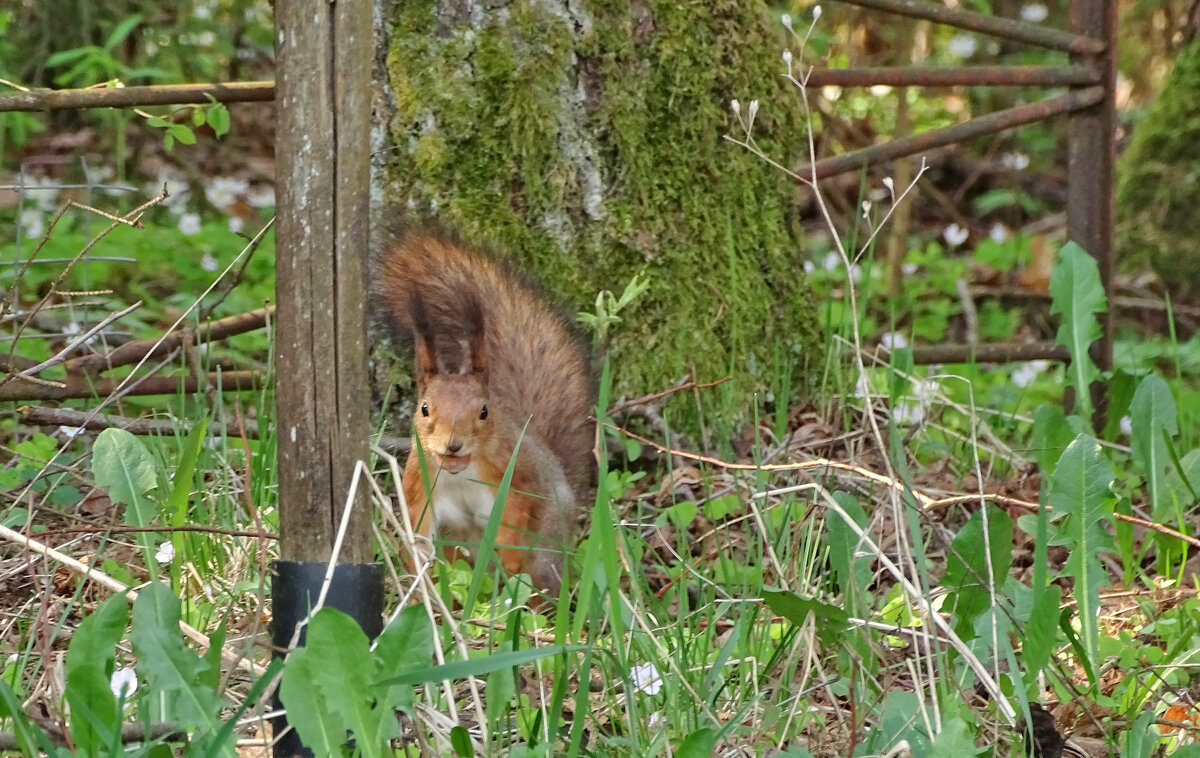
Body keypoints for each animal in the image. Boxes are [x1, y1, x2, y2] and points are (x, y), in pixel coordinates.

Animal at [374, 227, 595, 602]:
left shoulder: (516, 474)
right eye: (424, 408)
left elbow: (518, 512)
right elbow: (416, 529)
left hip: (545, 550)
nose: (453, 445)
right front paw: (418, 580)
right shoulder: (420, 483)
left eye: (483, 411)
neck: (460, 473)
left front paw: (508, 563)